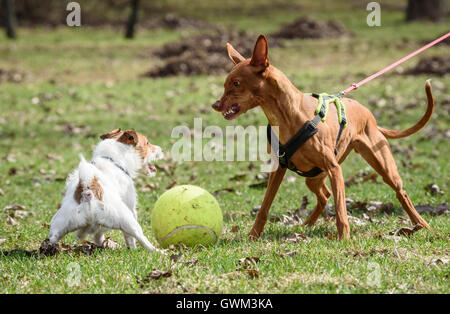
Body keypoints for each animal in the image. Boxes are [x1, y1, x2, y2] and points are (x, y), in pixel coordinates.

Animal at [213, 34, 434, 239]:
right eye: (225, 84)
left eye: (236, 83)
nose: (215, 105)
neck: (287, 115)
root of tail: (369, 114)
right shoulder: (278, 168)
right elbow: (265, 206)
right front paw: (253, 235)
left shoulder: (334, 169)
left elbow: (341, 210)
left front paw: (344, 239)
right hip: (313, 177)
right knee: (324, 195)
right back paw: (307, 224)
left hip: (382, 166)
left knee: (401, 193)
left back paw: (422, 224)